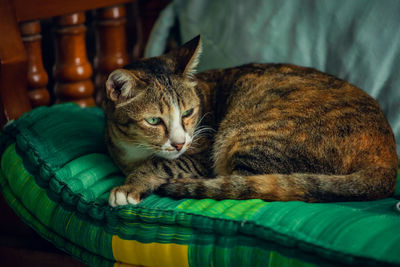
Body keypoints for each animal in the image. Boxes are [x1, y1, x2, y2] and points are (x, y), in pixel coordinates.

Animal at [102, 35, 396, 207]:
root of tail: (388, 158)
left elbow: (163, 164)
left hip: (250, 136)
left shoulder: (201, 153)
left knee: (246, 184)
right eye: (154, 120)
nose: (179, 143)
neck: (135, 151)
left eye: (188, 113)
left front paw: (129, 186)